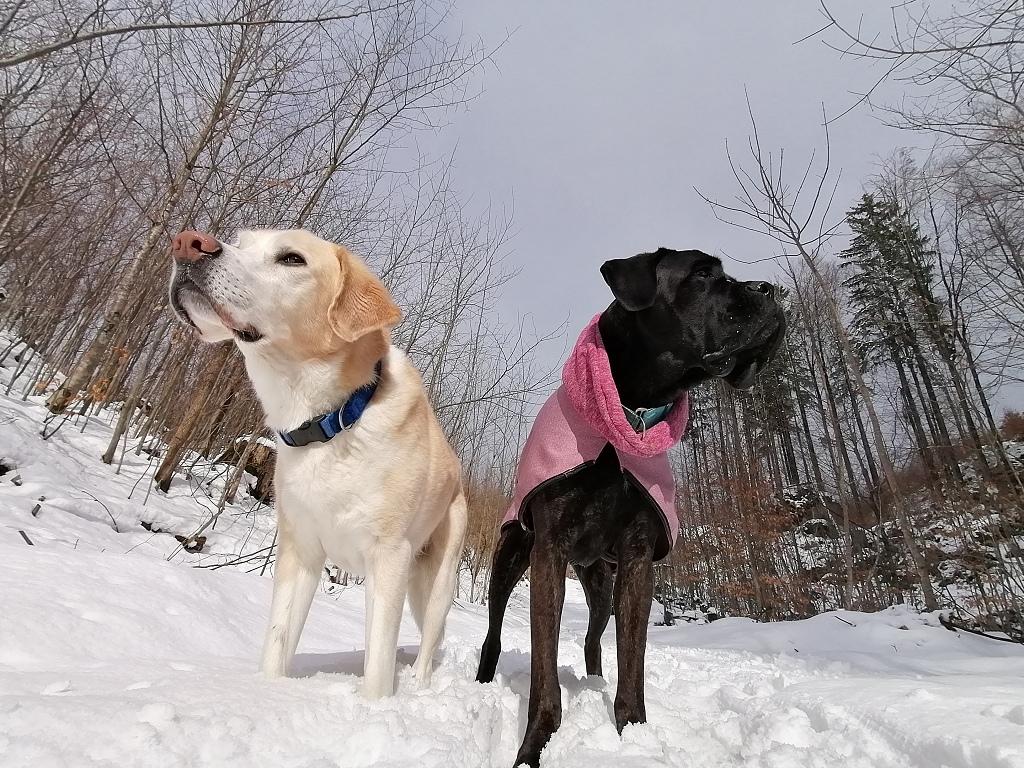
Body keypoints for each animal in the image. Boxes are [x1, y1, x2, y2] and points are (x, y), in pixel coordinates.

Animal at [473, 249, 782, 765]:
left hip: (600, 582)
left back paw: (595, 681)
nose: (771, 289)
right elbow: (544, 670)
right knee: (494, 630)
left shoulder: (638, 559)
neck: (630, 413)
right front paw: (534, 746)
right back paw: (481, 681)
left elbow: (631, 661)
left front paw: (633, 734)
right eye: (702, 273)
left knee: (593, 636)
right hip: (510, 556)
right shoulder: (548, 552)